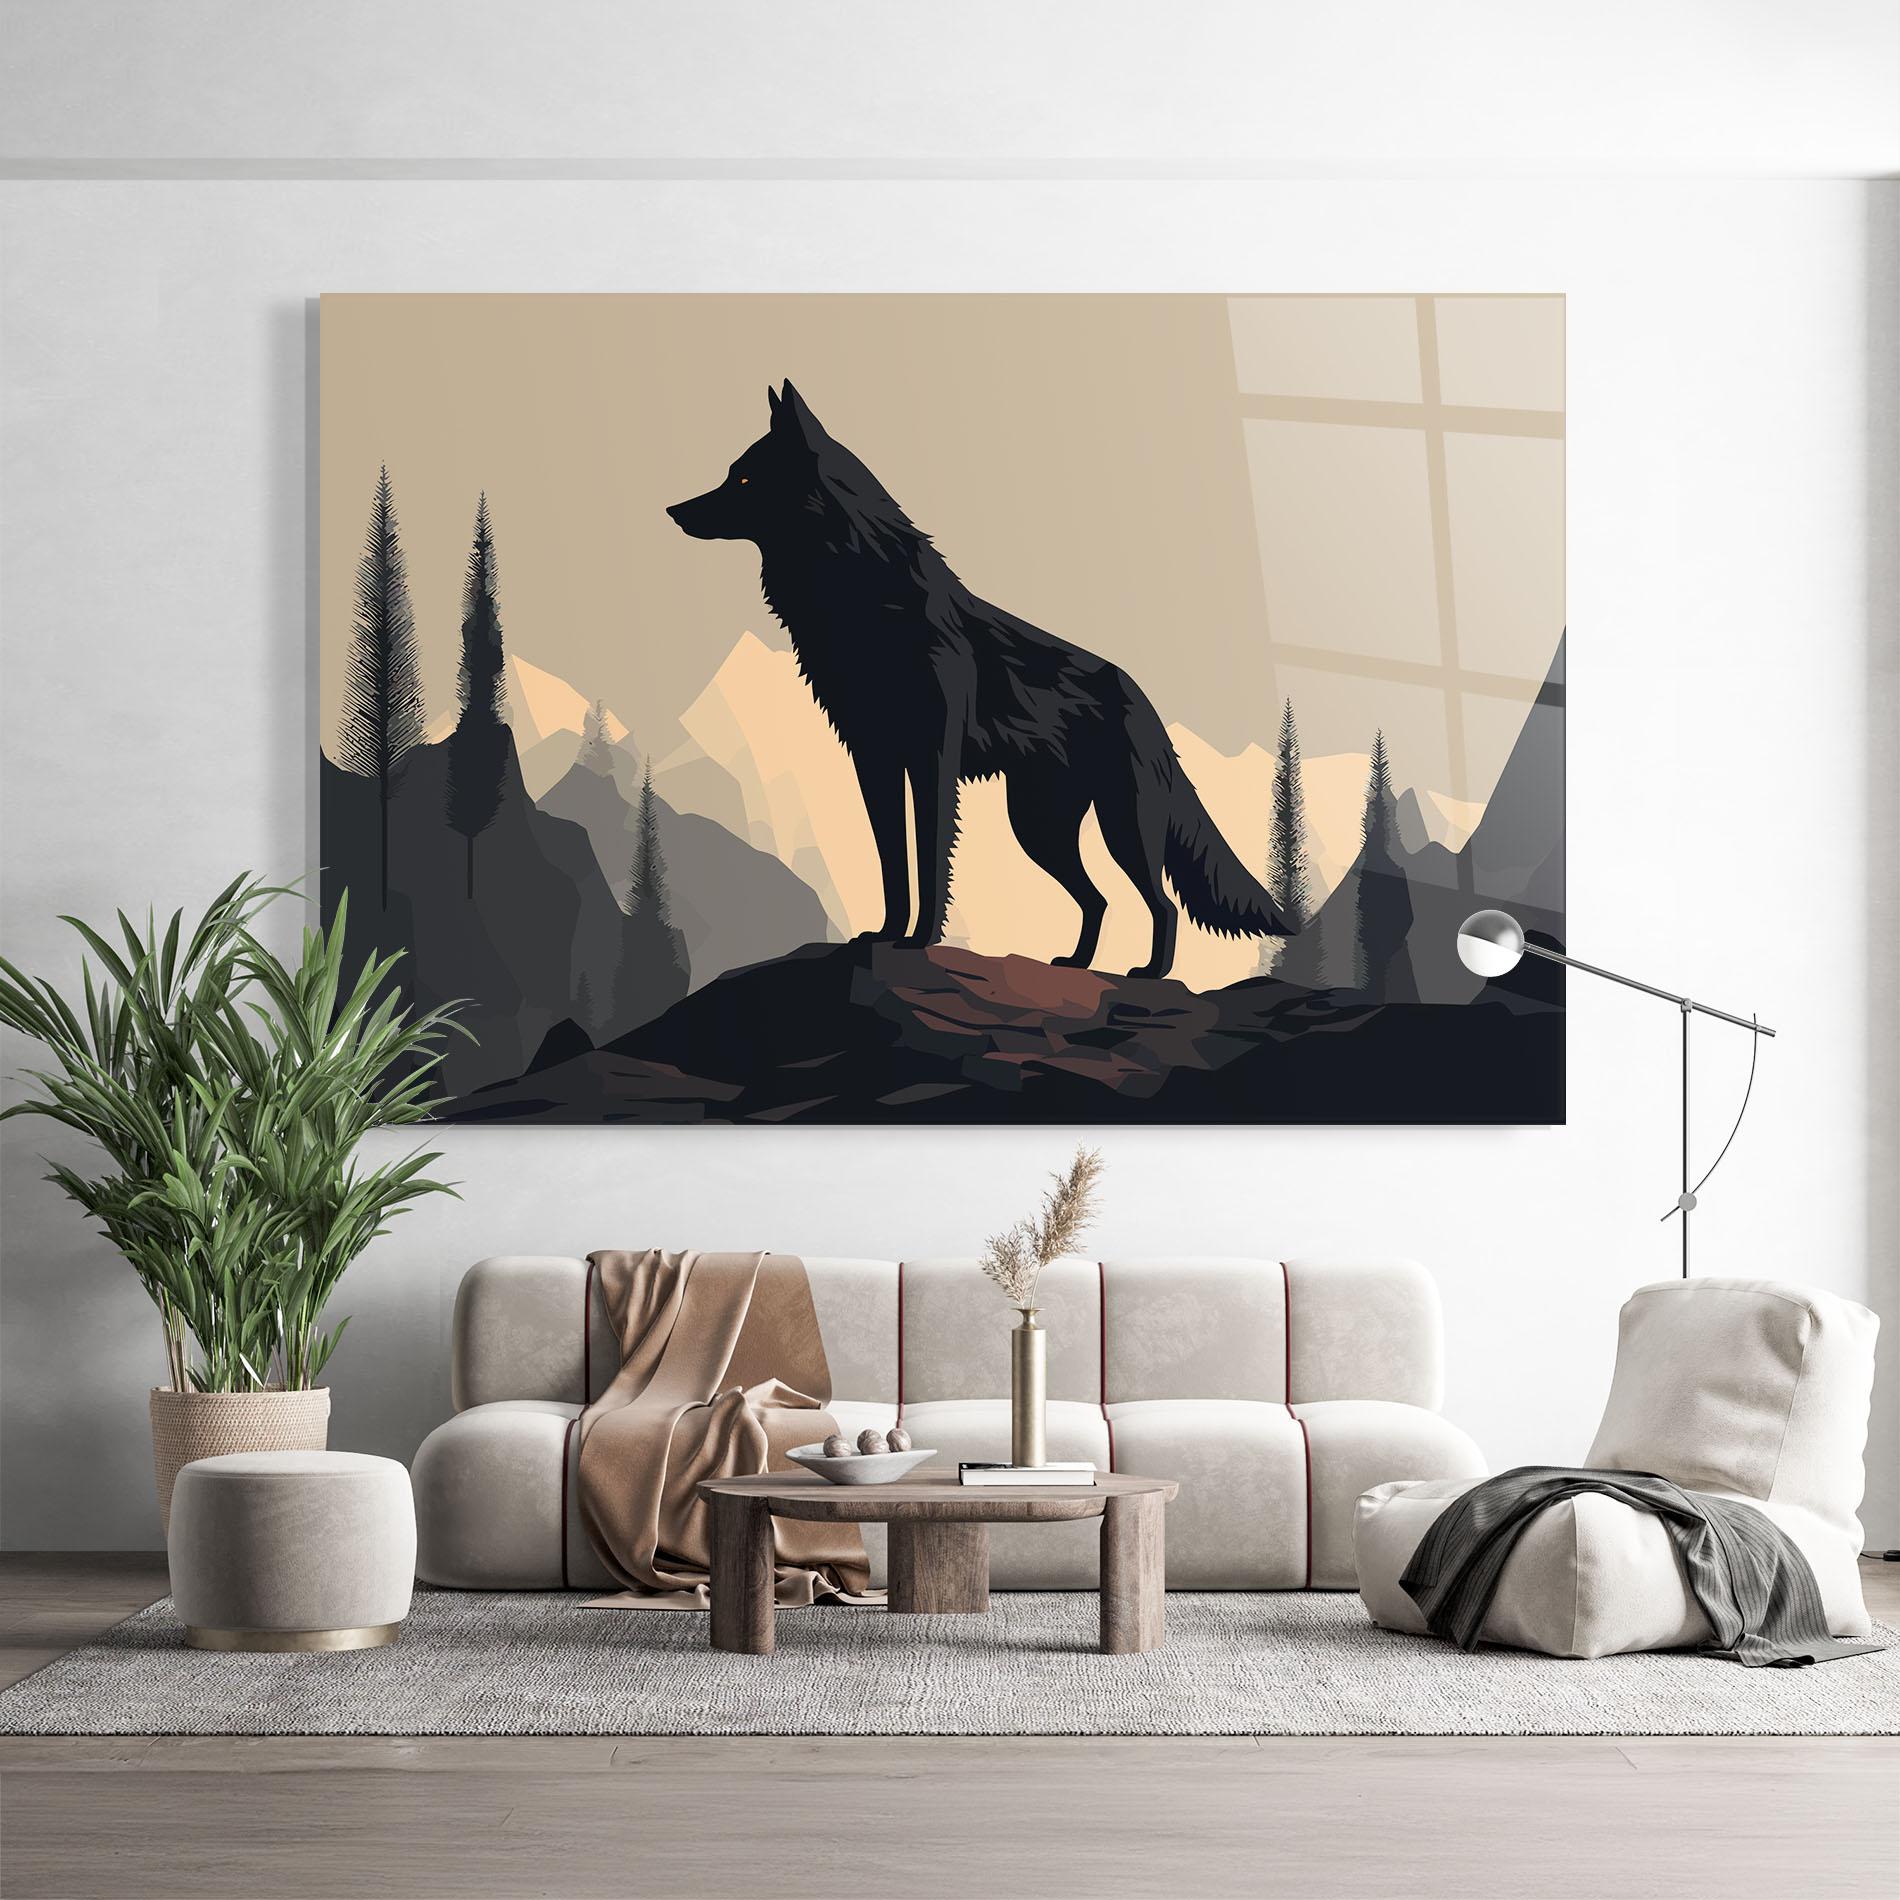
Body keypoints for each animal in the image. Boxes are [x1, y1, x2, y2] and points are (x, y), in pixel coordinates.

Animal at [668, 381, 1294, 979]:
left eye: (743, 477)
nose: (674, 510)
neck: (864, 595)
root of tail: (1144, 700)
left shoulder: (931, 759)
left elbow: (929, 855)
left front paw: (920, 939)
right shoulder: (873, 760)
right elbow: (892, 863)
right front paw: (884, 934)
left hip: (1121, 826)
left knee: (1159, 903)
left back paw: (1150, 972)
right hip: (1039, 828)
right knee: (1098, 900)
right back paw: (1077, 964)